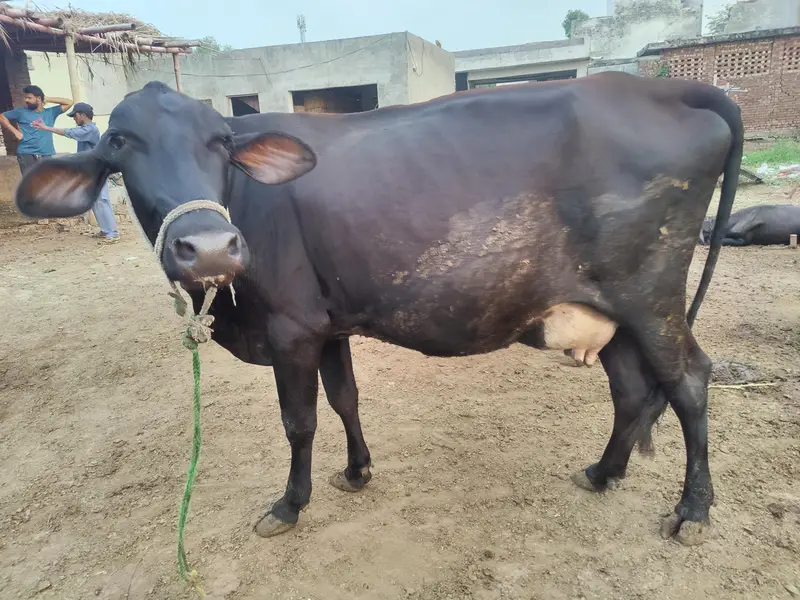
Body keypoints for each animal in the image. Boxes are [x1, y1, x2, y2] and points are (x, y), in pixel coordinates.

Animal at [14, 72, 743, 546]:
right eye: (119, 143)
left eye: (220, 140)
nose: (210, 248)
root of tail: (654, 87)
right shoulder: (326, 323)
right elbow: (346, 398)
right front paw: (358, 470)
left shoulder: (290, 328)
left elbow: (300, 421)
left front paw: (290, 504)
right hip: (611, 308)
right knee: (631, 389)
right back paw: (603, 472)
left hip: (652, 295)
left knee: (689, 382)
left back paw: (693, 512)